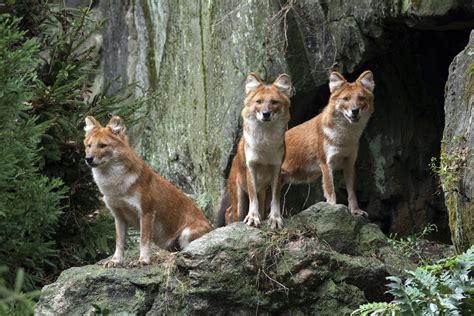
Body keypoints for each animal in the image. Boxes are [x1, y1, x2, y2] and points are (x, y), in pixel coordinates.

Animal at [84, 116, 212, 266]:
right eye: (89, 145)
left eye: (103, 145)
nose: (88, 159)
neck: (115, 186)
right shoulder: (119, 215)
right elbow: (119, 241)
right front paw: (116, 260)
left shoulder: (147, 212)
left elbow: (144, 239)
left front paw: (143, 260)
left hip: (187, 233)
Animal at [220, 73, 290, 228]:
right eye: (259, 101)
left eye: (274, 102)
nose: (266, 113)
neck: (265, 143)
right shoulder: (251, 167)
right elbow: (253, 196)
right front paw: (252, 217)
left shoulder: (276, 169)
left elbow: (275, 198)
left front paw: (275, 218)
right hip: (239, 199)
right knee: (230, 212)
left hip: (263, 192)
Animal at [282, 70, 374, 216]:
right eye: (346, 99)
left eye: (361, 98)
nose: (355, 110)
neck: (345, 137)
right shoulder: (326, 163)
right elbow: (330, 189)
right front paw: (333, 208)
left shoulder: (349, 162)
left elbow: (352, 191)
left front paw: (355, 211)